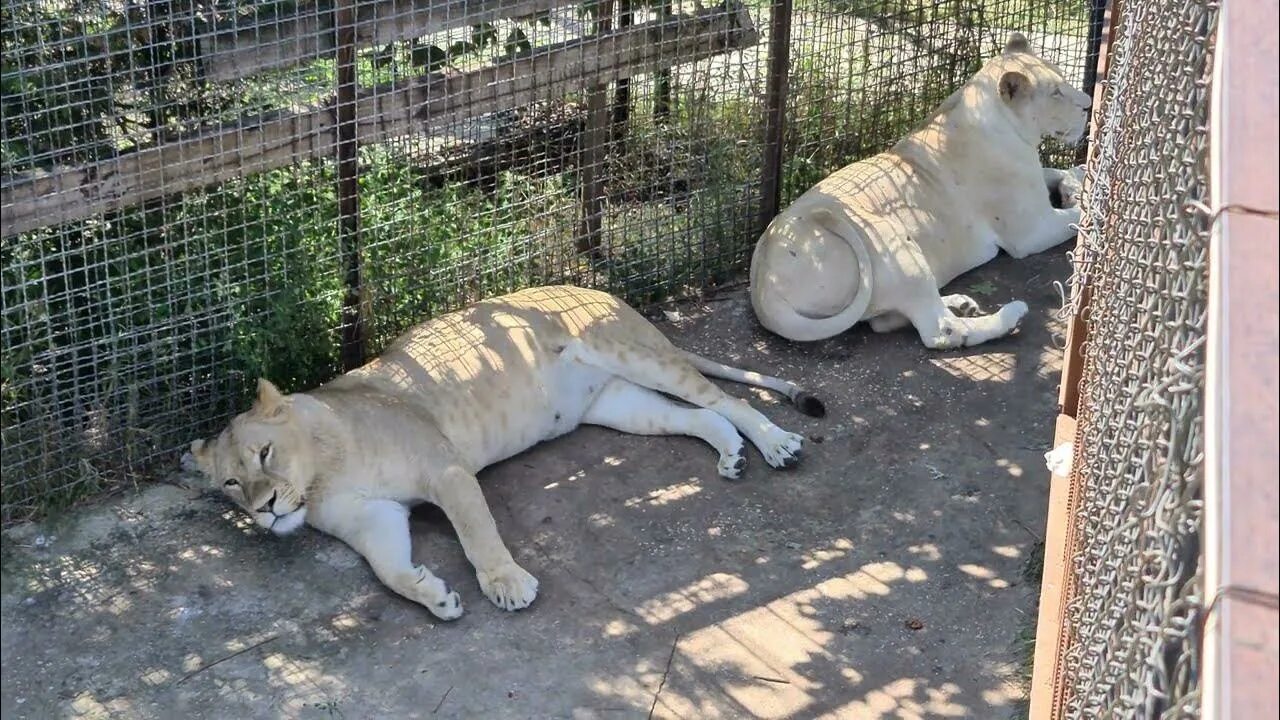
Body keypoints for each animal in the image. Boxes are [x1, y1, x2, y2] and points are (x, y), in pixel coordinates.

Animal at [186, 284, 819, 617]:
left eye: (264, 454)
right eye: (230, 483)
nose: (265, 510)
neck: (322, 476)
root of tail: (604, 290)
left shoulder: (445, 469)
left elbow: (476, 533)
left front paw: (506, 583)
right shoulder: (373, 517)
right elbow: (387, 569)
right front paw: (433, 594)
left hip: (633, 355)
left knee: (728, 399)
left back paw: (778, 444)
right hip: (621, 406)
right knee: (702, 416)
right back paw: (731, 456)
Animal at [747, 33, 1090, 348]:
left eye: (1062, 77)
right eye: (1056, 92)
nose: (1088, 105)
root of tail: (763, 290)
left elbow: (1057, 171)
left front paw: (1078, 179)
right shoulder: (1031, 231)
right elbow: (1075, 218)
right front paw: (1084, 204)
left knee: (893, 319)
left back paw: (961, 303)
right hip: (891, 240)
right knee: (940, 330)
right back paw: (1009, 316)